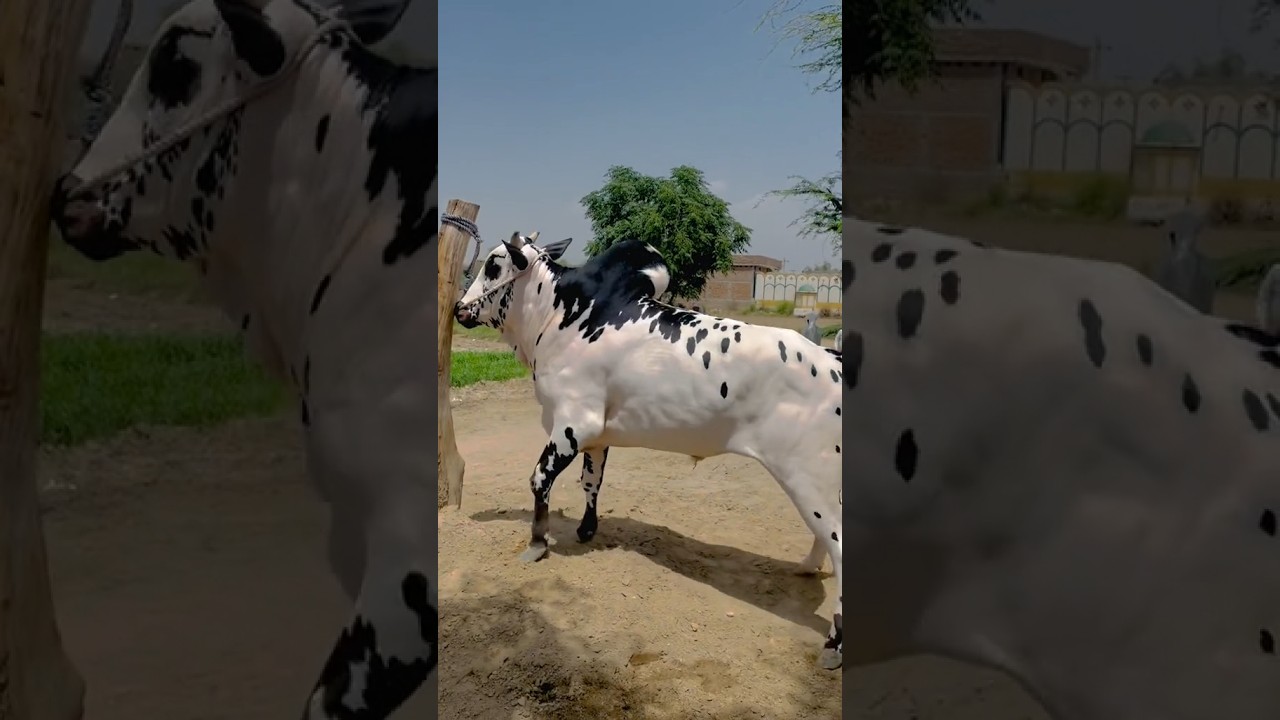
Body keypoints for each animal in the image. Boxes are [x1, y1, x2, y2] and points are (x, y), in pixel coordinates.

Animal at [452, 233, 845, 670]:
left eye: (493, 266)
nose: (458, 308)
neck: (562, 315)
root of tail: (834, 361)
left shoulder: (573, 422)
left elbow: (540, 479)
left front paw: (537, 543)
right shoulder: (597, 436)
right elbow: (591, 482)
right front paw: (586, 529)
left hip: (808, 476)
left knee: (839, 543)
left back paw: (833, 644)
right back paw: (807, 567)